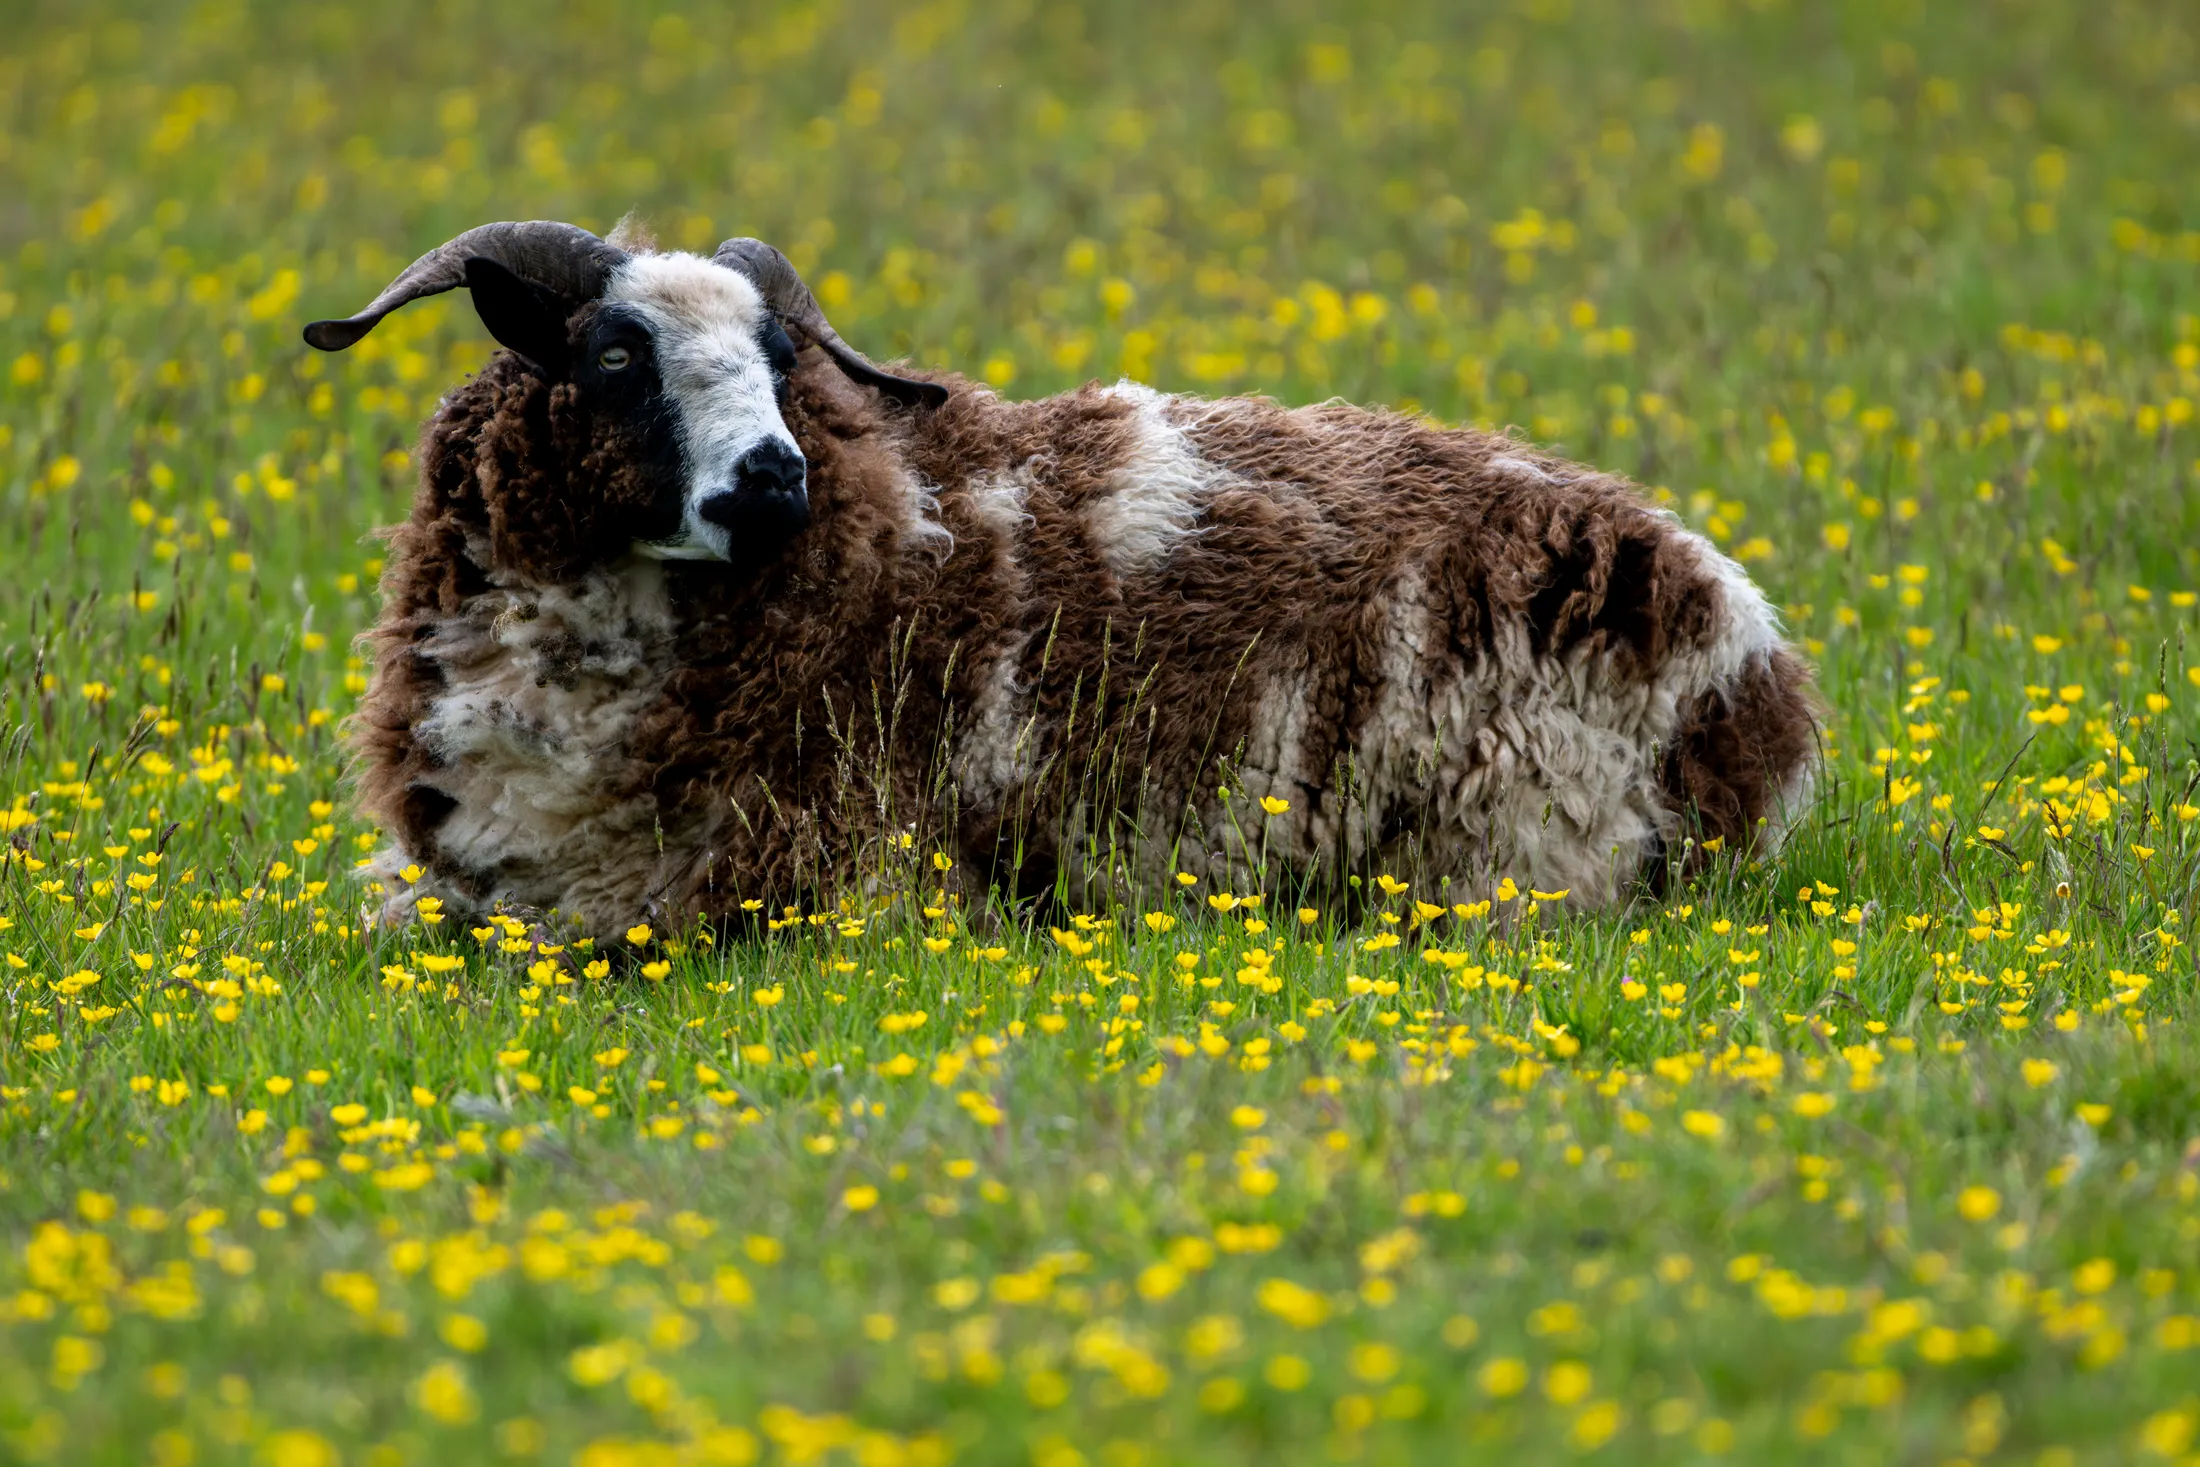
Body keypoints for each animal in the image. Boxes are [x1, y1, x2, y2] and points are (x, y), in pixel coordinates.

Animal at [304, 219, 1818, 932]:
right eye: (617, 357)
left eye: (783, 358)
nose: (774, 481)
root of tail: (1747, 660)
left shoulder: (844, 879)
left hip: (1516, 848)